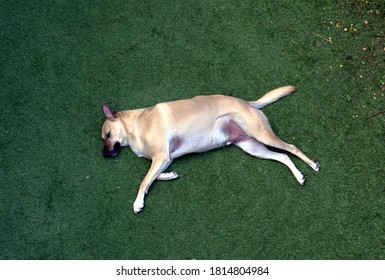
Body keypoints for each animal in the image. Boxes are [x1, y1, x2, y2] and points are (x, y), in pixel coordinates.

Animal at [101, 85, 318, 212]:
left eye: (108, 135)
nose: (104, 155)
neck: (136, 125)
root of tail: (248, 103)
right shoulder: (166, 158)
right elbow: (153, 178)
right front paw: (170, 176)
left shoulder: (161, 156)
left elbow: (144, 180)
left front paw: (138, 202)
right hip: (253, 147)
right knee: (283, 157)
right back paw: (299, 176)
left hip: (261, 135)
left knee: (292, 148)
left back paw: (312, 165)